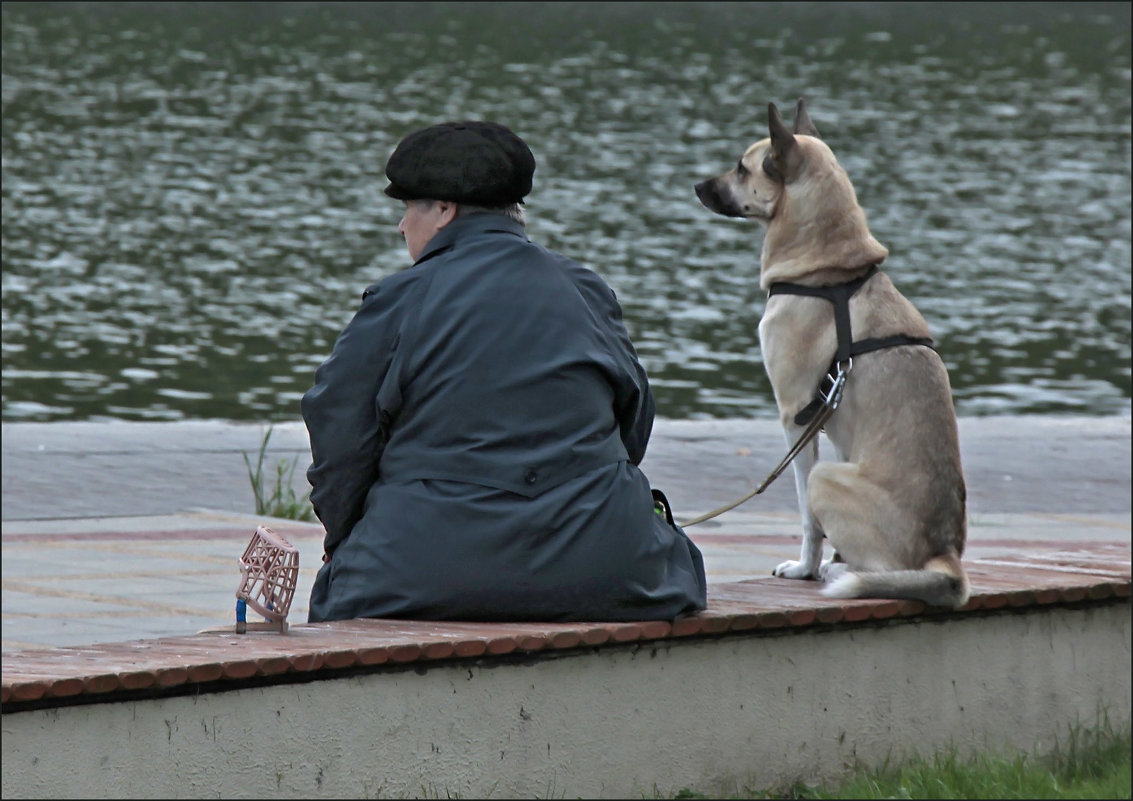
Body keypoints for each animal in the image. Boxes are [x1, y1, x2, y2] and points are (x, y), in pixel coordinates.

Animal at [693, 98, 969, 607]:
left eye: (741, 168)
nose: (698, 186)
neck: (828, 273)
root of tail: (948, 559)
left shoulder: (795, 421)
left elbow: (806, 517)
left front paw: (804, 567)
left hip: (828, 478)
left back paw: (835, 572)